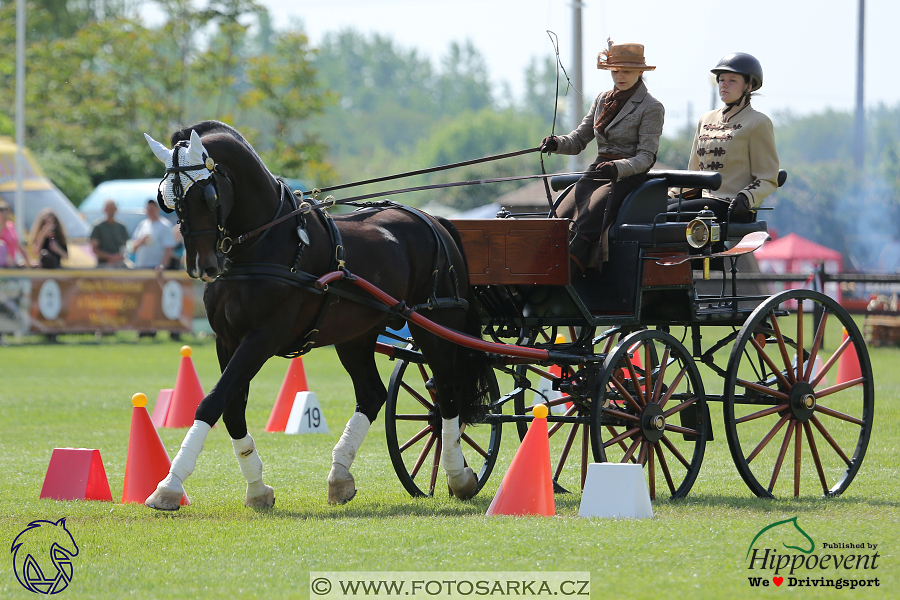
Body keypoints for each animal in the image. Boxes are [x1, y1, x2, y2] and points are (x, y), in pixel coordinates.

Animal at [142, 122, 492, 510]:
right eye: (168, 199)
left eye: (208, 196)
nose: (201, 266)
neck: (266, 242)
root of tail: (434, 220)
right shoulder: (227, 340)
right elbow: (230, 408)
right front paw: (257, 489)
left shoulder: (262, 338)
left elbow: (211, 402)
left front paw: (168, 486)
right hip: (356, 336)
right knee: (373, 394)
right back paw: (340, 477)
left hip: (437, 326)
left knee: (447, 395)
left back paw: (459, 476)